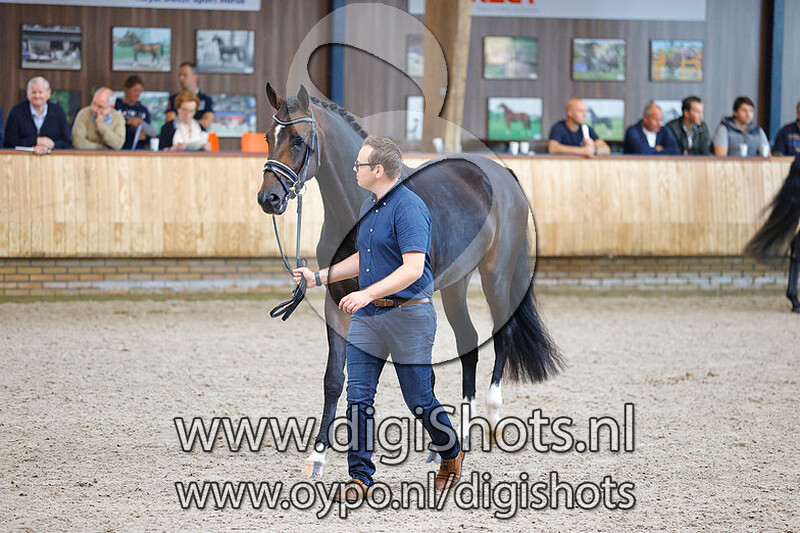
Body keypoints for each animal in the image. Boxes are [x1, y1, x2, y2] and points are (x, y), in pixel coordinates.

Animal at [257, 84, 563, 477]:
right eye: (269, 137)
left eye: (298, 141)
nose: (269, 198)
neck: (362, 208)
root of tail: (504, 175)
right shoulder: (337, 301)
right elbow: (335, 379)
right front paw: (318, 455)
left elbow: (417, 374)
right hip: (455, 284)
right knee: (469, 342)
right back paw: (463, 432)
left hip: (496, 274)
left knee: (503, 333)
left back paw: (492, 417)